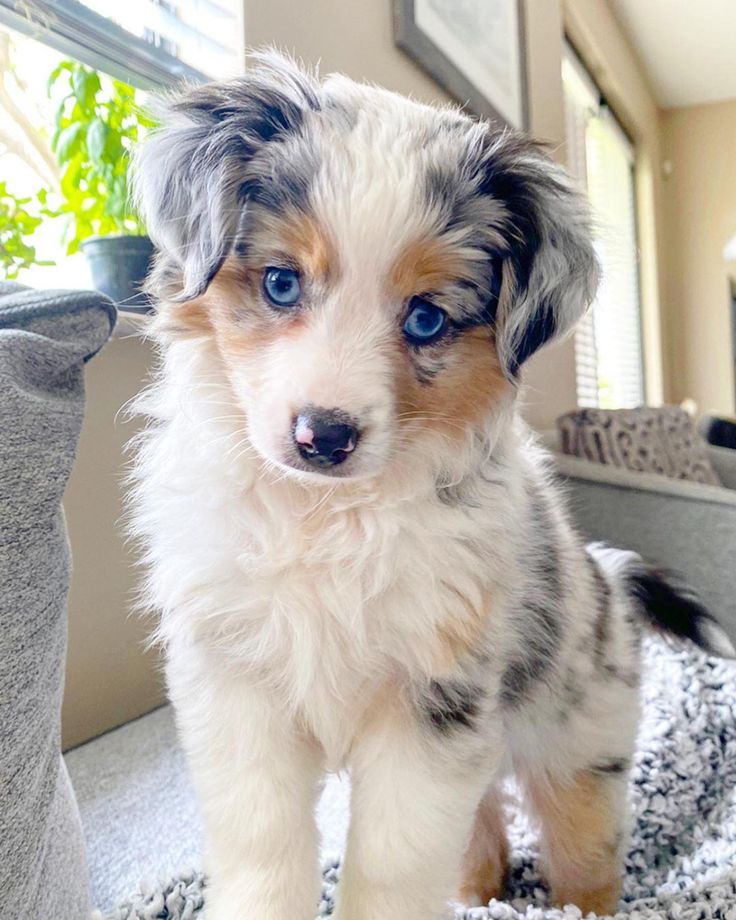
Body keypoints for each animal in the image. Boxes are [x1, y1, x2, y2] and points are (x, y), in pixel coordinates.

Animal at [129, 52, 732, 920]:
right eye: (280, 283)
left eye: (424, 319)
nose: (323, 436)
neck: (325, 518)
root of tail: (608, 574)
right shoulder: (236, 682)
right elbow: (264, 845)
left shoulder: (433, 698)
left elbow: (389, 864)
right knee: (480, 825)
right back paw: (476, 893)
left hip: (578, 739)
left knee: (583, 844)